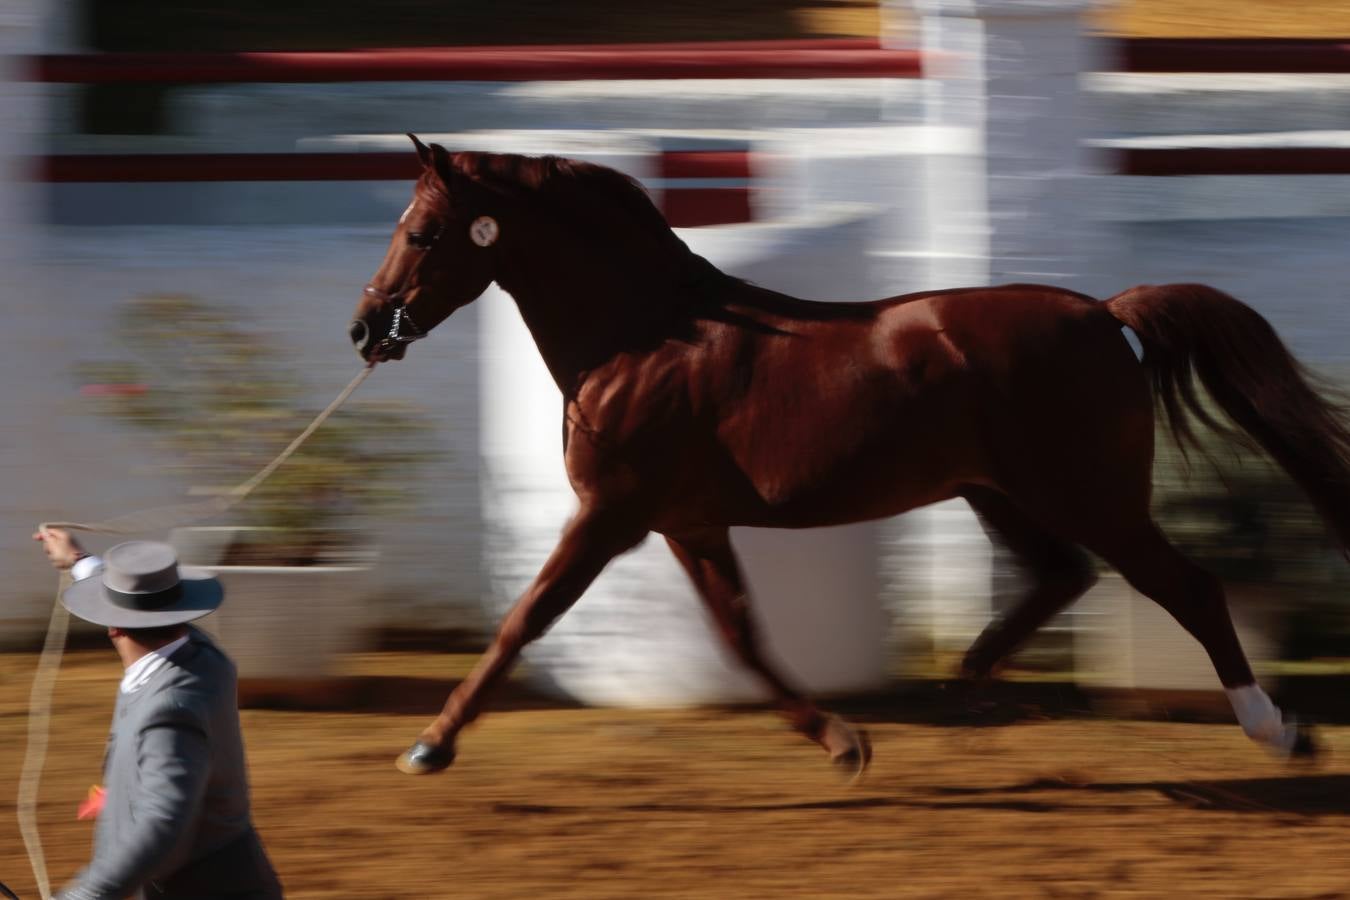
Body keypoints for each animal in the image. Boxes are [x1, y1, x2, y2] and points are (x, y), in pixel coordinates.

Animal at [353, 133, 1344, 777]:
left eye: (422, 230)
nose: (367, 328)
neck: (641, 339)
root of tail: (1105, 312)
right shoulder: (688, 524)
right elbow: (742, 636)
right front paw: (844, 741)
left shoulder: (610, 515)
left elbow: (525, 620)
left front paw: (430, 745)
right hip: (998, 492)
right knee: (1062, 576)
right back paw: (963, 686)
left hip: (1090, 496)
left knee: (1189, 589)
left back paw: (1279, 731)